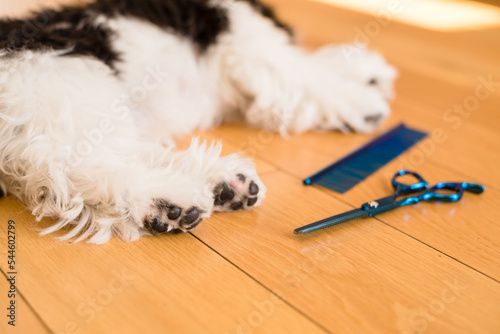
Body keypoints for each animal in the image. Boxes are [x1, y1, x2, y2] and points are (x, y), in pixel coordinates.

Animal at [0, 0, 398, 243]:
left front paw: (367, 73)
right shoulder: (253, 50)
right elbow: (307, 73)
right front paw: (363, 100)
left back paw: (224, 185)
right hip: (69, 90)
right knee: (77, 168)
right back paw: (167, 202)